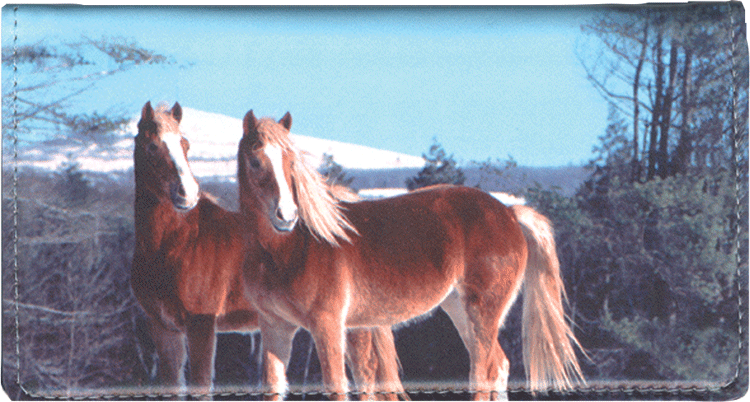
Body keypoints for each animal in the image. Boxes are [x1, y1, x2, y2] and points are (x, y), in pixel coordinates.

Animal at [132, 101, 408, 398]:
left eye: (185, 144)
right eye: (152, 146)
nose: (187, 193)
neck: (178, 242)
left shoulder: (201, 326)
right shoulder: (164, 329)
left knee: (366, 375)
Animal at [238, 109, 584, 398]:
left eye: (291, 162)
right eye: (256, 162)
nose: (286, 216)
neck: (291, 249)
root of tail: (509, 213)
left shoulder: (328, 326)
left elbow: (337, 385)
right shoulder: (276, 329)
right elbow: (274, 387)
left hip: (482, 311)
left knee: (483, 372)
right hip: (460, 309)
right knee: (499, 366)